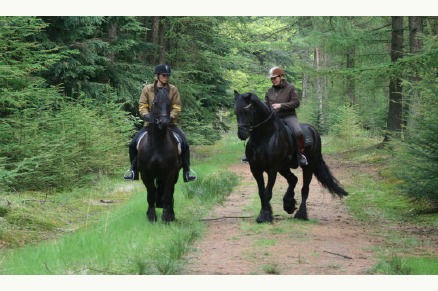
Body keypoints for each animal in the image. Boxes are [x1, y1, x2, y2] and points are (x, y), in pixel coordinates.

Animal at [139, 89, 183, 224]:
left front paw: (166, 218)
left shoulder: (169, 173)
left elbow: (166, 195)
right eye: (155, 103)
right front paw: (151, 216)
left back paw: (171, 214)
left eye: (170, 103)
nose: (164, 122)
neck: (157, 143)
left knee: (170, 192)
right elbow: (151, 194)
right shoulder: (145, 174)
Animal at [234, 90, 348, 222]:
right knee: (293, 179)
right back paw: (289, 204)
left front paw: (265, 216)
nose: (242, 134)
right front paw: (265, 214)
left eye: (247, 110)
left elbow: (267, 192)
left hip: (308, 166)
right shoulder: (255, 169)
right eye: (235, 111)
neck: (265, 136)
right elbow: (261, 192)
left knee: (305, 189)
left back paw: (301, 214)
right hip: (283, 167)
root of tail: (313, 130)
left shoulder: (272, 169)